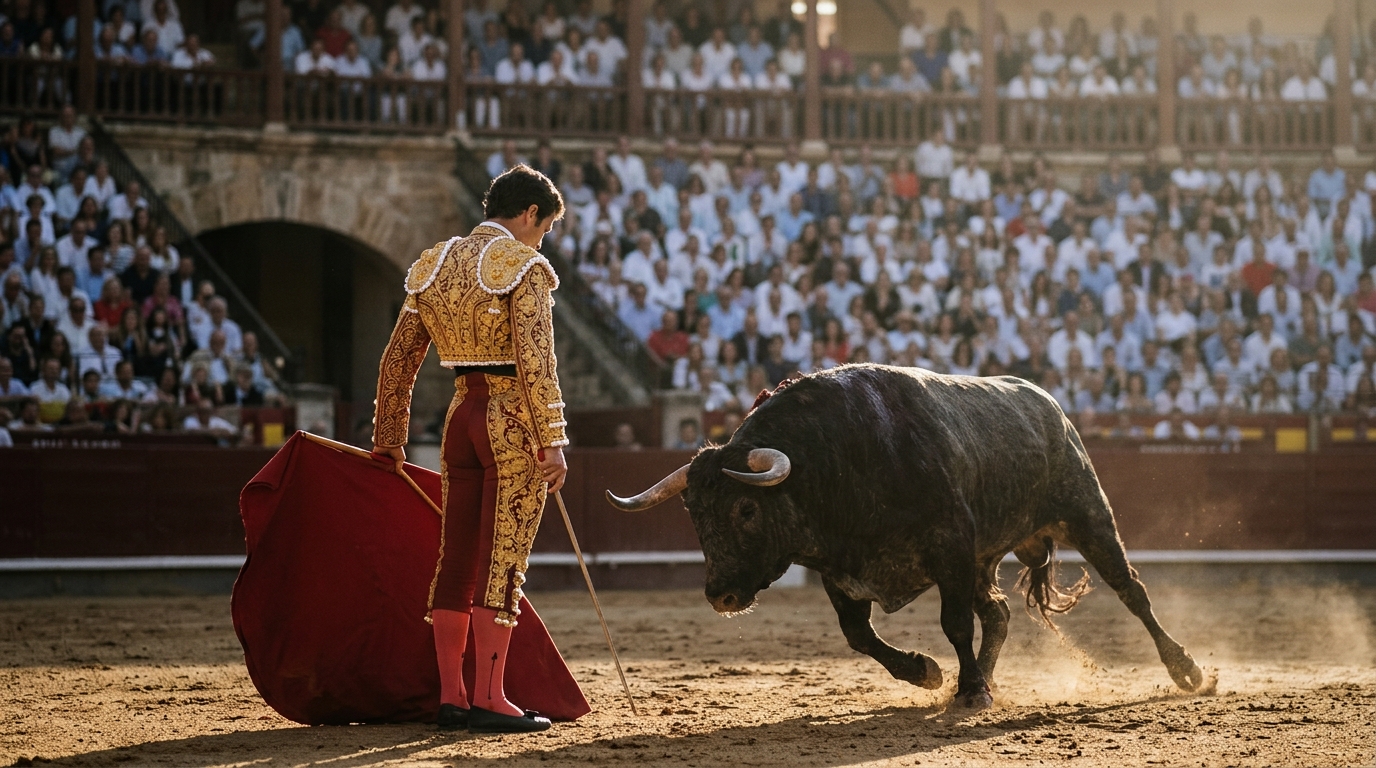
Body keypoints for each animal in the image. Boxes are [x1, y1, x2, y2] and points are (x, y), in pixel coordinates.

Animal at [607, 364, 1207, 709]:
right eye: (693, 512)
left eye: (746, 507)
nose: (721, 595)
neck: (836, 458)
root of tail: (1050, 406)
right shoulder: (843, 572)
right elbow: (860, 636)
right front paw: (929, 673)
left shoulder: (950, 548)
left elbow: (953, 623)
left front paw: (966, 687)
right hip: (985, 558)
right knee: (999, 615)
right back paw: (981, 678)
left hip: (1086, 515)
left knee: (1132, 592)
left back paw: (1187, 669)